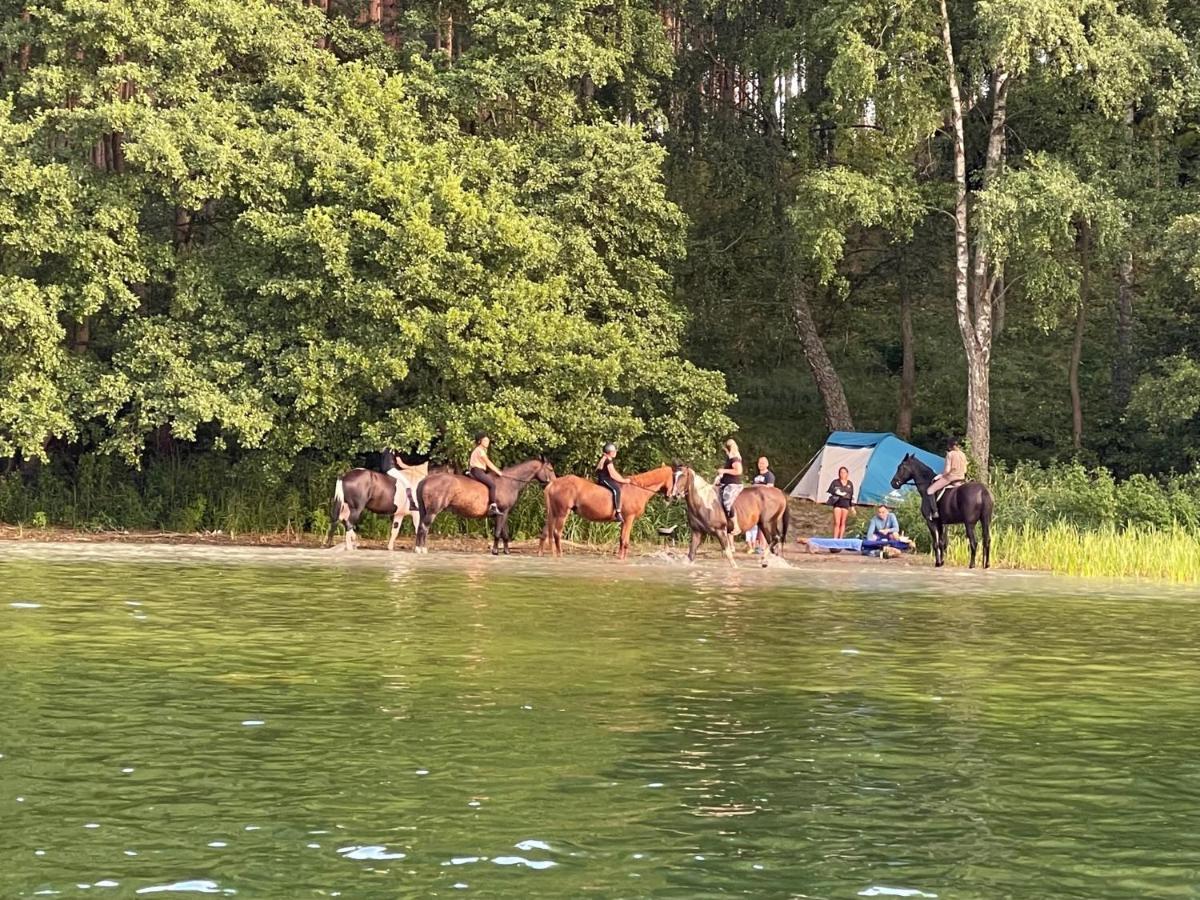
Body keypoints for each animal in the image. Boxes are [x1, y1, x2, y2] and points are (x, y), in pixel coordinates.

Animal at [415, 458, 554, 556]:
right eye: (551, 469)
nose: (554, 482)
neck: (509, 482)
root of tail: (426, 480)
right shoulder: (502, 511)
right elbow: (498, 533)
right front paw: (495, 551)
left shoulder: (503, 513)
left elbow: (505, 533)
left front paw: (507, 551)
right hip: (433, 511)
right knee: (424, 527)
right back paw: (422, 549)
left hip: (424, 511)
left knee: (420, 526)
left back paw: (418, 548)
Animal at [537, 468, 681, 561]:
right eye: (675, 478)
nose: (675, 495)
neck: (638, 489)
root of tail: (553, 483)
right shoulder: (629, 519)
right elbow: (625, 541)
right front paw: (622, 559)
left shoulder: (624, 521)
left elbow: (621, 540)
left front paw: (619, 557)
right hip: (562, 513)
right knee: (556, 533)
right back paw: (559, 555)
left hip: (553, 513)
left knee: (545, 533)